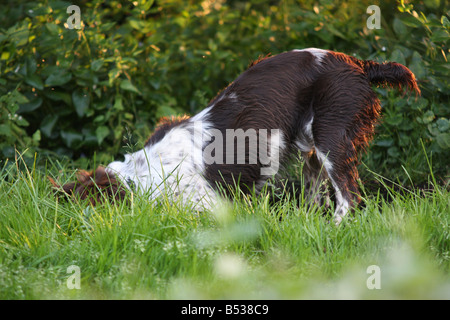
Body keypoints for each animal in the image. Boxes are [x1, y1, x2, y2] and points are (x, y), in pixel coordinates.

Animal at [51, 48, 418, 225]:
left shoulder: (212, 206)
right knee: (318, 195)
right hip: (313, 152)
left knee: (349, 197)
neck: (145, 172)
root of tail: (359, 64)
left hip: (332, 137)